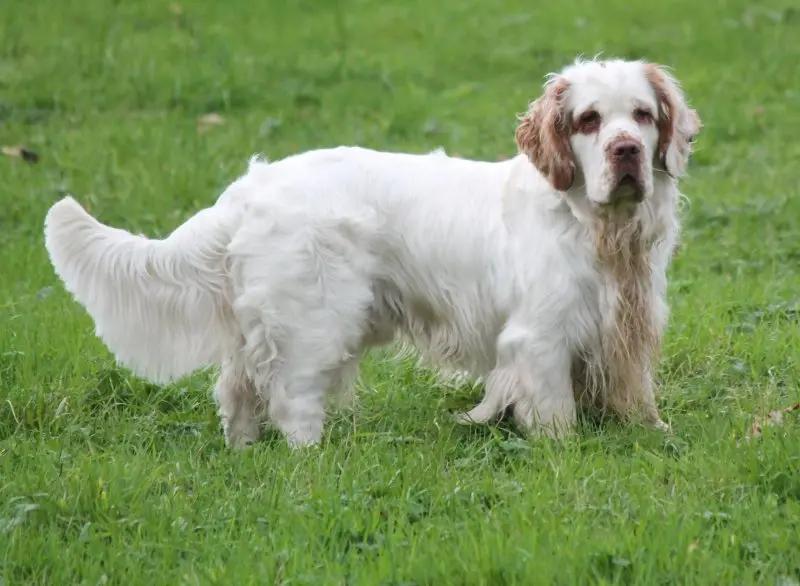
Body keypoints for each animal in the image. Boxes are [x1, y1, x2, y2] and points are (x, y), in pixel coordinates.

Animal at [43, 57, 700, 448]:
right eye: (589, 120)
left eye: (642, 115)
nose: (624, 151)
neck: (597, 228)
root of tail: (250, 186)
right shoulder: (539, 338)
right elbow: (555, 414)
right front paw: (563, 455)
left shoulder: (628, 323)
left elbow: (638, 393)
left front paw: (653, 433)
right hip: (317, 322)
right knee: (292, 402)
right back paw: (314, 462)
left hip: (259, 326)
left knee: (237, 391)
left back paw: (244, 453)